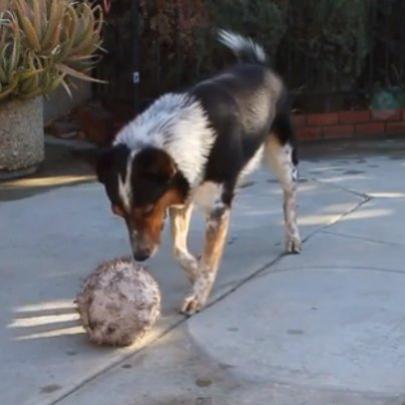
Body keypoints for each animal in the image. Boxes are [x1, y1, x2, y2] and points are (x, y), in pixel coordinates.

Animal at [97, 31, 300, 314]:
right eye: (118, 213)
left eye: (147, 209)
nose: (140, 256)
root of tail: (258, 65)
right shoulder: (180, 198)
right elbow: (178, 250)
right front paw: (194, 270)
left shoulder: (216, 206)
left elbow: (207, 258)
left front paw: (198, 294)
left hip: (282, 155)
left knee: (289, 197)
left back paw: (293, 237)